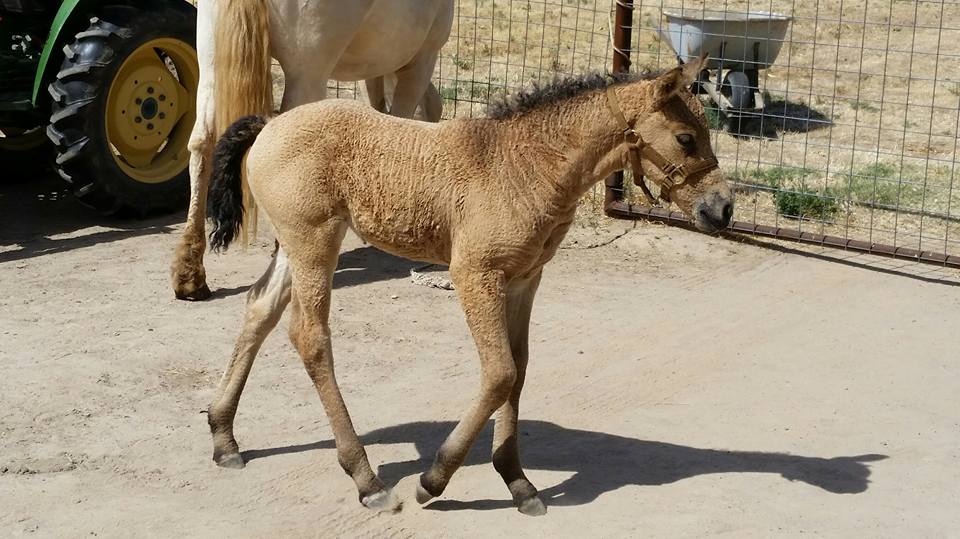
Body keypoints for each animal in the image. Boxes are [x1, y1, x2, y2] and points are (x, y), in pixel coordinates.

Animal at [169, 0, 454, 300]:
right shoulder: (421, 61)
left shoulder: (377, 67)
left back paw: (190, 272)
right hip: (307, 73)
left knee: (202, 143)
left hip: (211, 62)